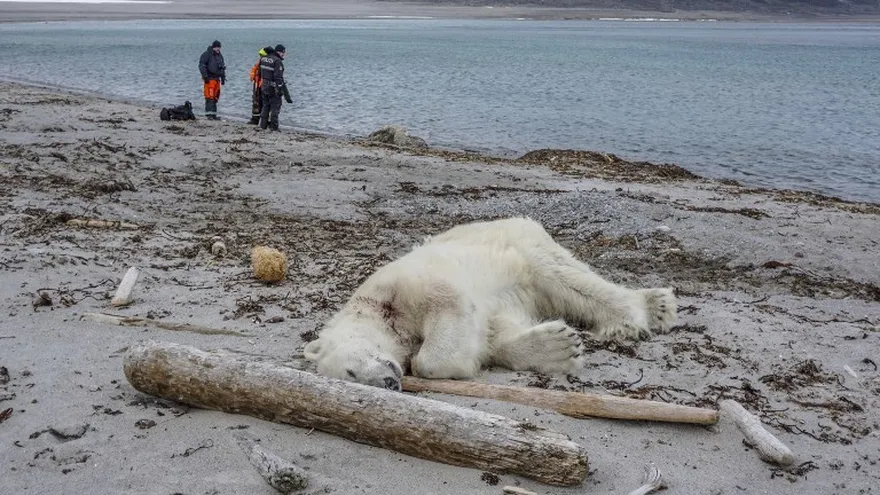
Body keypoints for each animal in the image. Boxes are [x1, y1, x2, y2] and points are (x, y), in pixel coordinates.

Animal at [303, 217, 677, 391]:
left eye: (350, 372)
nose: (388, 383)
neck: (377, 310)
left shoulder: (404, 285)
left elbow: (447, 313)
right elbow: (495, 333)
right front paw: (557, 347)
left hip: (522, 245)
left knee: (567, 278)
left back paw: (640, 313)